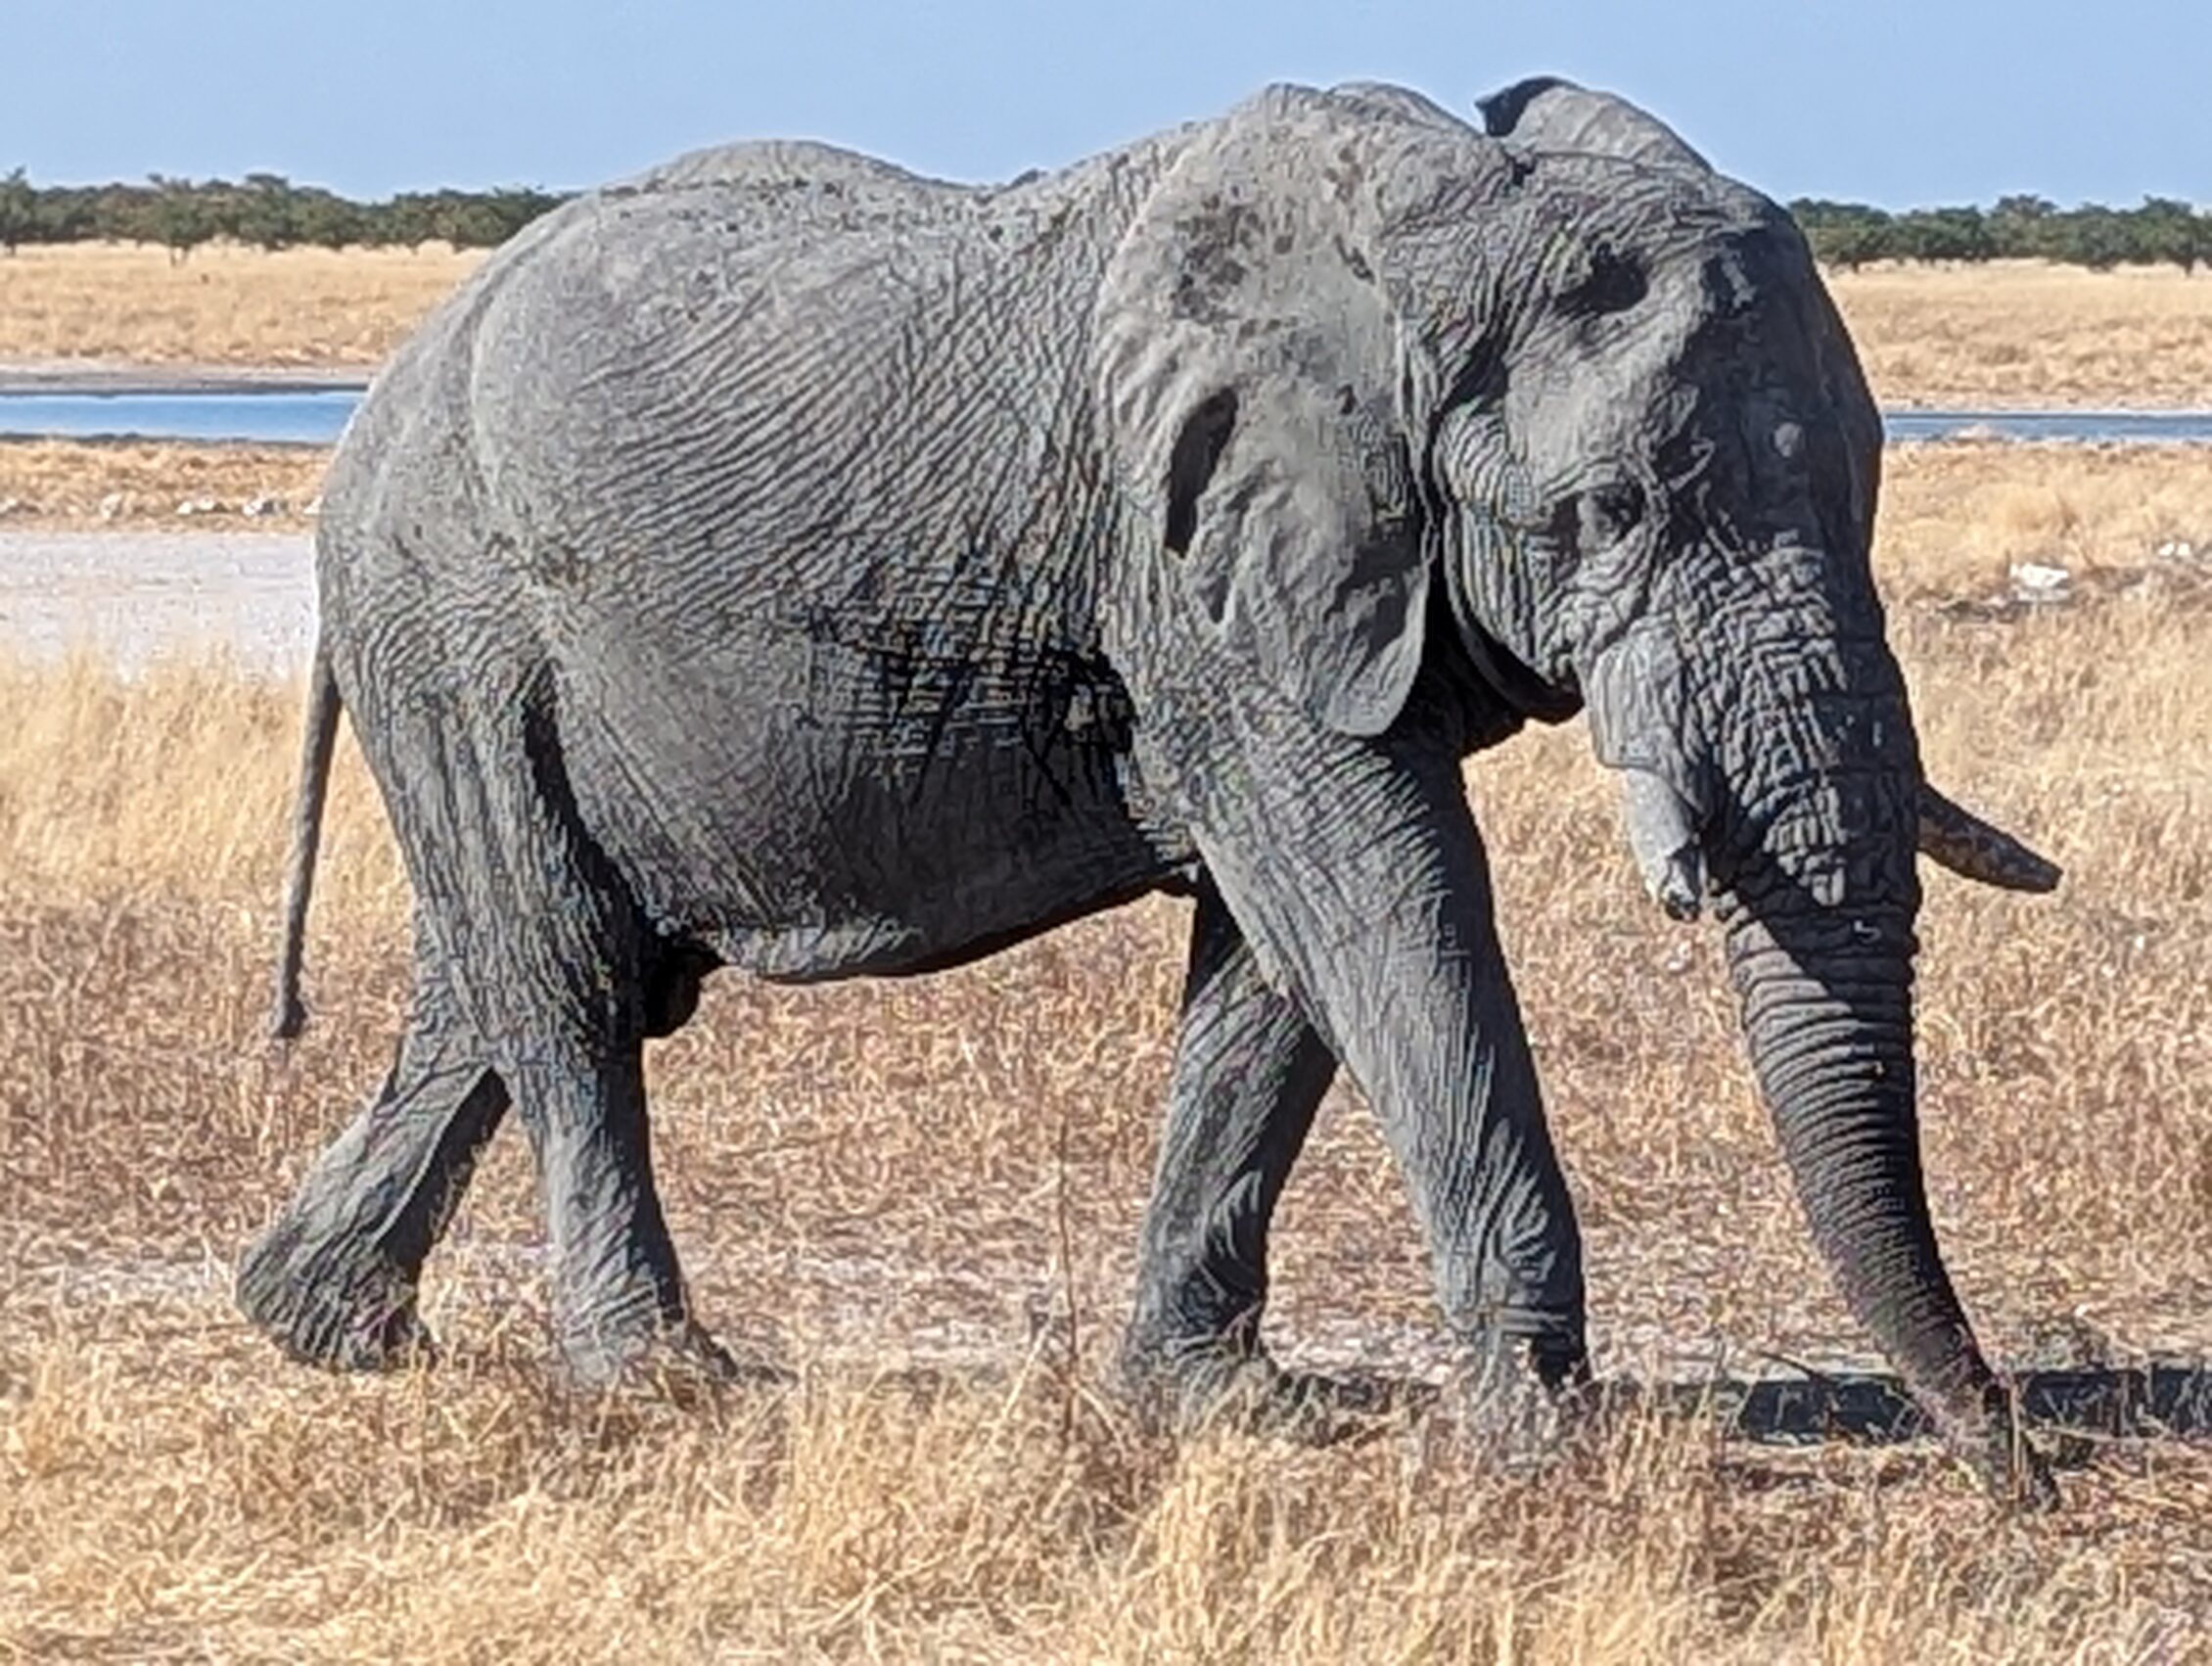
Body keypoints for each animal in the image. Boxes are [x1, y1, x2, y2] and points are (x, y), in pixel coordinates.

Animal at [238, 75, 2065, 1504]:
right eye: (1605, 511)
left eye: (1871, 483)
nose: (2020, 1462)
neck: (1431, 217)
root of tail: (379, 401)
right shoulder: (1191, 566)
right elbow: (1381, 893)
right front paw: (1544, 1451)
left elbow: (1280, 956)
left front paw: (1225, 1404)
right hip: (459, 621)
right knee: (564, 982)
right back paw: (663, 1379)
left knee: (501, 981)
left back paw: (317, 1327)